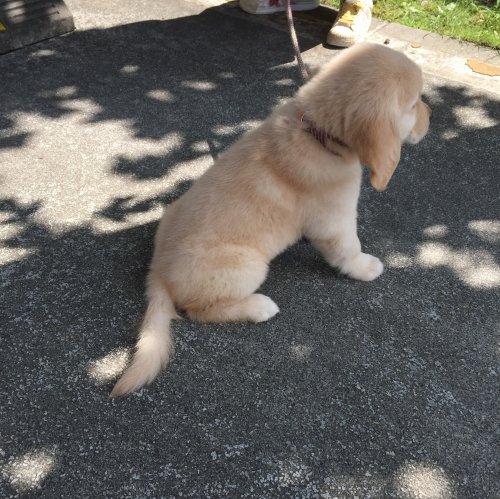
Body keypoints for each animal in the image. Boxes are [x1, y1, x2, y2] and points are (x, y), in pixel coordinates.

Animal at [110, 43, 431, 397]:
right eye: (414, 104)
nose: (431, 117)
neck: (317, 132)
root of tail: (157, 271)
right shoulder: (334, 219)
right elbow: (348, 249)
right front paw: (364, 267)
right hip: (248, 264)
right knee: (199, 310)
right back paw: (258, 307)